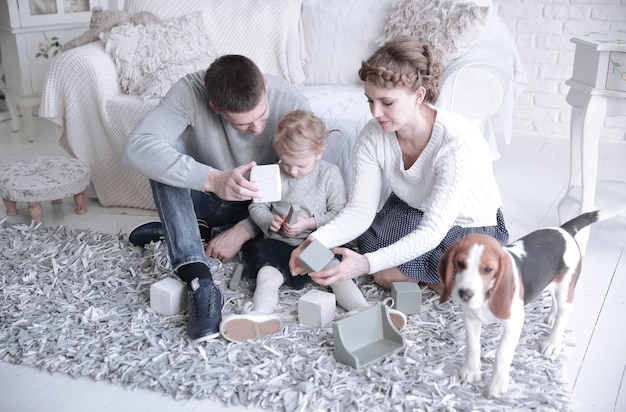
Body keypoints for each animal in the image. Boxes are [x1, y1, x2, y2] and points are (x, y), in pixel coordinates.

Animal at [436, 206, 624, 400]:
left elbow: (502, 354)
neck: (488, 295)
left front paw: (497, 385)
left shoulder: (514, 323)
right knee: (554, 301)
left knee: (563, 315)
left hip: (565, 289)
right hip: (550, 283)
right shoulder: (471, 318)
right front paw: (471, 372)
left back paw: (552, 343)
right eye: (460, 263)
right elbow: (473, 346)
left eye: (488, 269)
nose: (465, 294)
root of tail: (564, 229)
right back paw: (551, 316)